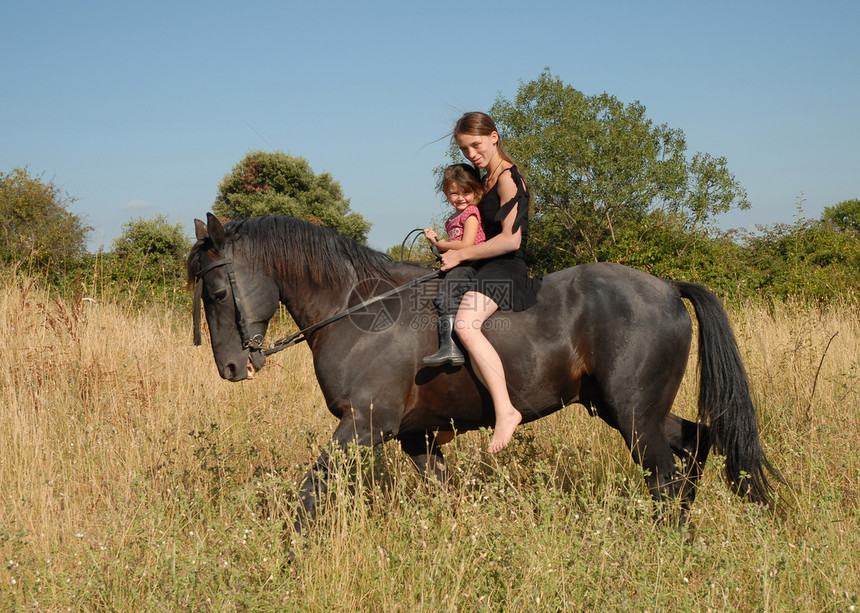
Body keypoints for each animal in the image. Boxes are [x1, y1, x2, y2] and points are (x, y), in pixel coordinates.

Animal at [188, 214, 780, 536]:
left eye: (216, 292)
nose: (231, 368)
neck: (360, 310)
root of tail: (667, 288)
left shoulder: (363, 426)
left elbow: (309, 492)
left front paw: (289, 553)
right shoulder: (417, 438)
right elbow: (443, 496)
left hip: (633, 416)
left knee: (665, 477)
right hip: (630, 411)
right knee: (699, 445)